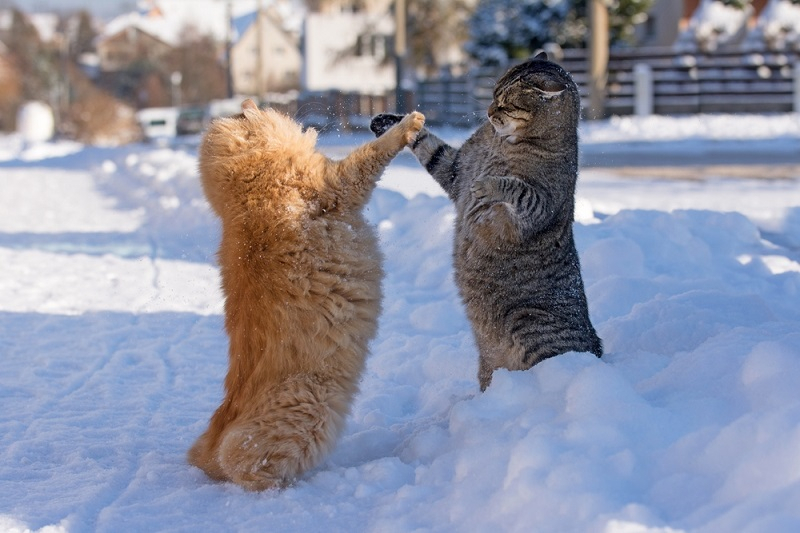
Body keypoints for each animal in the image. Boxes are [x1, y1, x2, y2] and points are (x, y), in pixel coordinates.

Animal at [189, 100, 424, 490]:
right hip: (311, 407)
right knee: (245, 468)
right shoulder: (339, 187)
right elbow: (371, 154)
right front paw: (408, 125)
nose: (251, 102)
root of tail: (210, 442)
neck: (248, 190)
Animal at [372, 52, 604, 388]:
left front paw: (489, 184)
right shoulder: (455, 169)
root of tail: (596, 346)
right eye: (494, 94)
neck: (504, 140)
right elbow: (429, 145)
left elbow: (517, 188)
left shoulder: (540, 204)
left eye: (506, 103)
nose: (488, 111)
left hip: (527, 321)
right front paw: (390, 123)